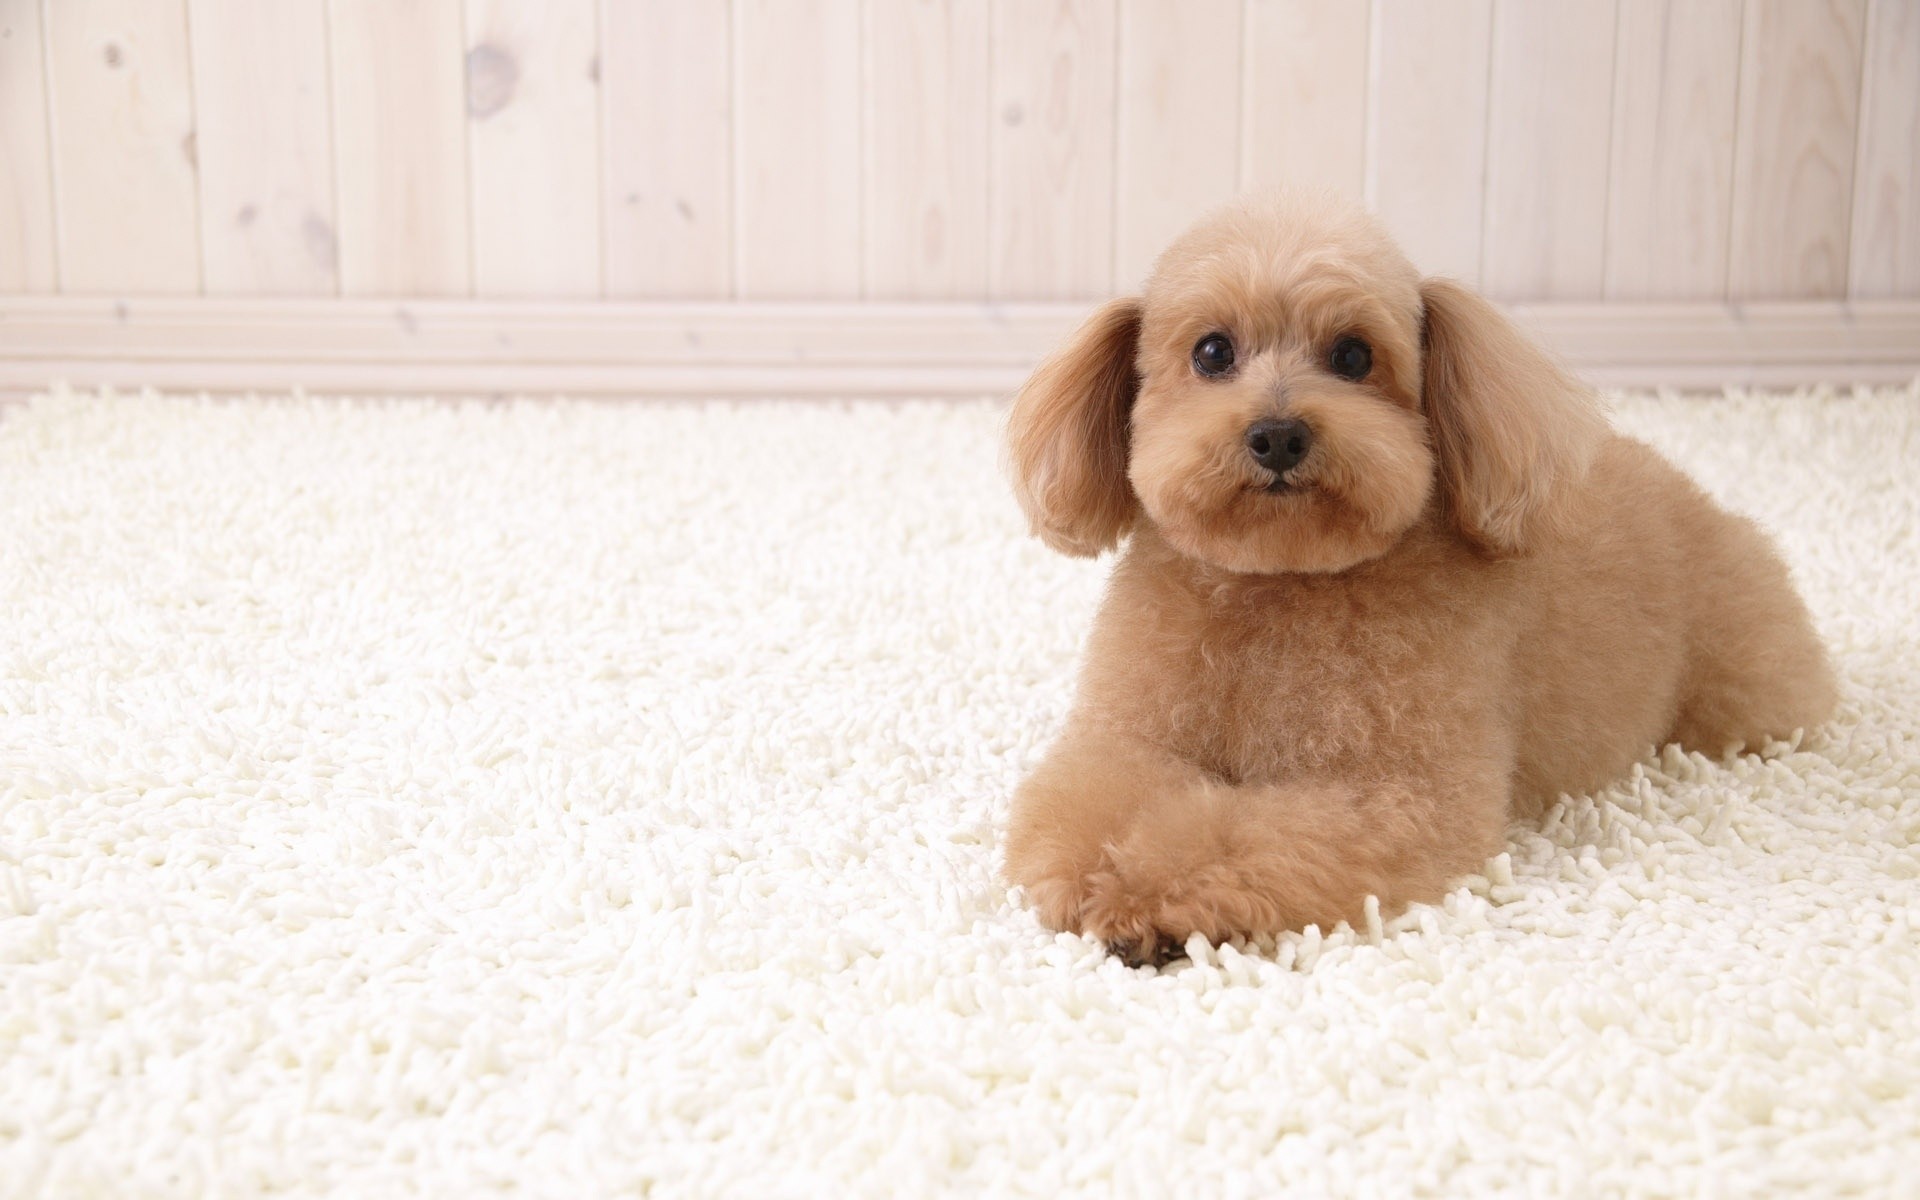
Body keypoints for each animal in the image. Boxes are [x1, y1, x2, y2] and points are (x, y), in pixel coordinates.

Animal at [1006, 192, 1827, 967]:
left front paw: (1145, 892)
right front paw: (1100, 875)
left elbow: (1237, 834)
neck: (1280, 579)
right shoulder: (1129, 737)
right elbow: (1087, 800)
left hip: (1740, 679)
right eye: (1212, 352)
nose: (1278, 435)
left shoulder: (1400, 792)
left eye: (1352, 355)